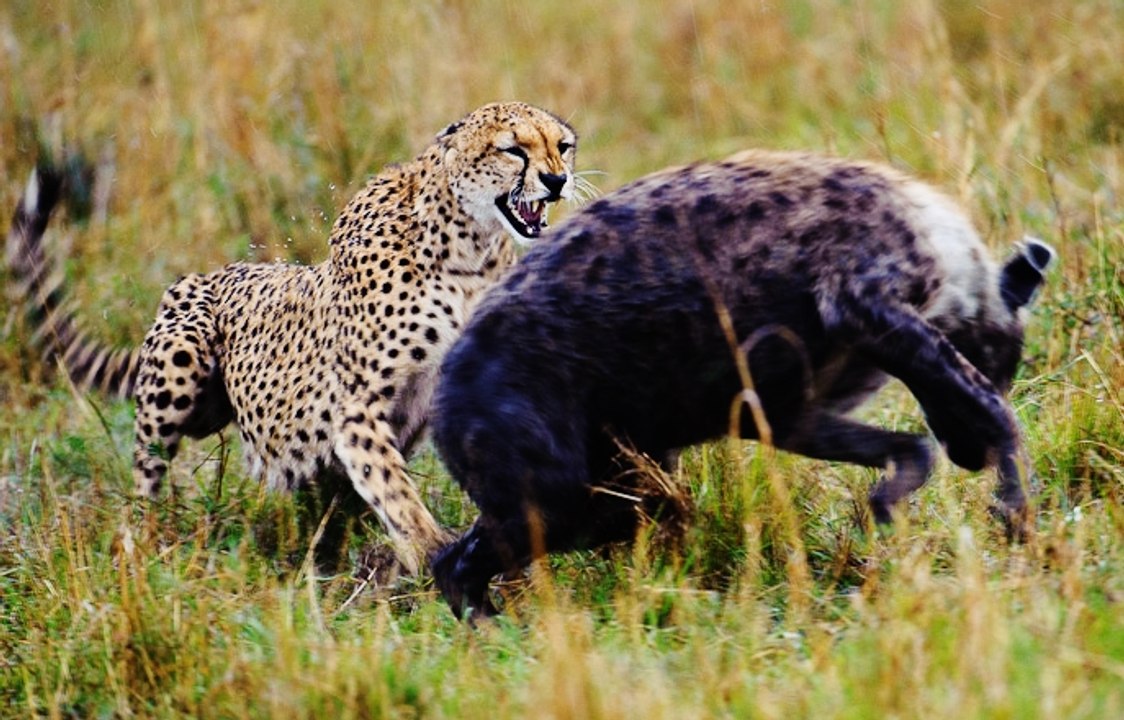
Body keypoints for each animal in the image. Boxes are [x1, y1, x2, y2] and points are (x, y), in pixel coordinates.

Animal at [5, 101, 578, 576]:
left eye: (562, 145)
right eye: (513, 148)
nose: (556, 179)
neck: (469, 246)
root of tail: (205, 275)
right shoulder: (356, 411)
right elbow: (394, 488)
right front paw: (433, 551)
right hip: (183, 360)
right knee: (147, 473)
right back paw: (145, 545)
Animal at [428, 149, 1055, 620]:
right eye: (1002, 363)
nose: (968, 456)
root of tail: (438, 396)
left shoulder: (787, 412)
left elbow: (910, 449)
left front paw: (886, 513)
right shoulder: (862, 303)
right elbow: (987, 410)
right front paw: (1018, 518)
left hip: (621, 479)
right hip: (561, 490)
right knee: (466, 557)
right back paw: (493, 633)